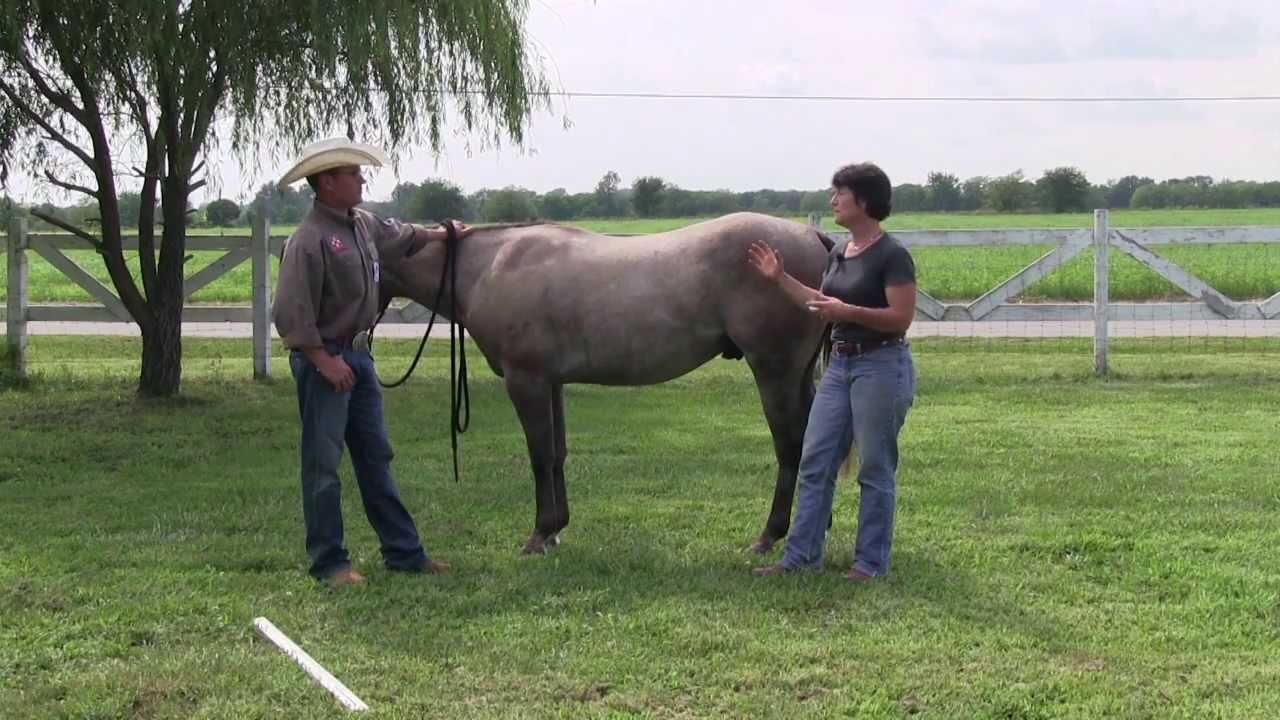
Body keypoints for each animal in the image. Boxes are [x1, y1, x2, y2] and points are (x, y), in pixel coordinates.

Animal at [378, 212, 833, 555]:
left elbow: (539, 456)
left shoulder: (525, 381)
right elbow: (557, 454)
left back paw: (770, 535)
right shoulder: (551, 383)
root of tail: (810, 235)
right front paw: (556, 529)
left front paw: (539, 534)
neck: (491, 265)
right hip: (798, 378)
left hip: (775, 373)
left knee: (791, 448)